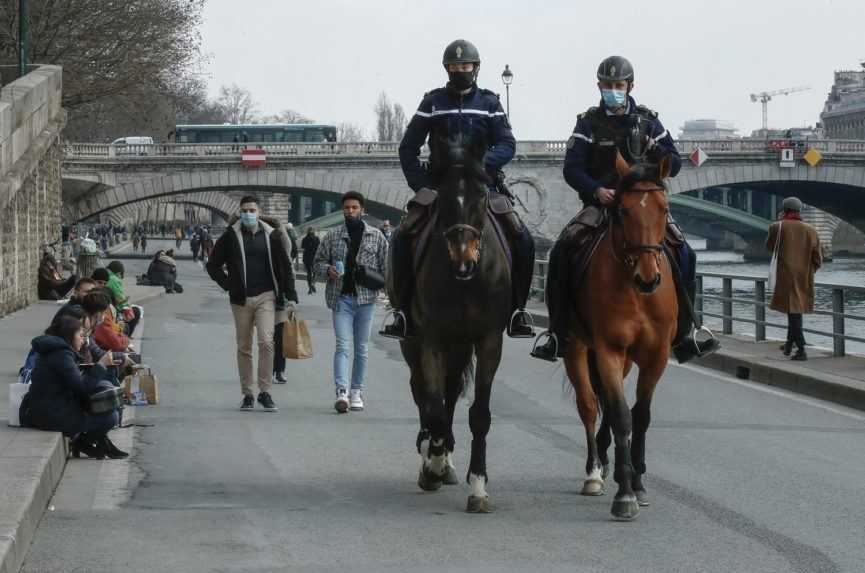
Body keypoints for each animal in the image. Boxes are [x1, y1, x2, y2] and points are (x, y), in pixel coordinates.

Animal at [394, 135, 512, 512]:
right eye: (442, 197)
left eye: (483, 195)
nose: (463, 261)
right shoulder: (429, 337)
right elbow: (431, 407)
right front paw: (432, 464)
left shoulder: (489, 340)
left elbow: (479, 413)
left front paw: (479, 487)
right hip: (415, 342)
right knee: (424, 392)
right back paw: (432, 452)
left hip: (460, 345)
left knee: (450, 391)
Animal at [564, 151, 680, 520]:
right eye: (624, 210)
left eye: (664, 209)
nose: (648, 278)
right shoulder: (608, 350)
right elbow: (620, 415)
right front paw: (625, 493)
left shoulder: (656, 355)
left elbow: (640, 416)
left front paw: (637, 483)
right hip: (576, 347)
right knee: (589, 405)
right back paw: (594, 472)